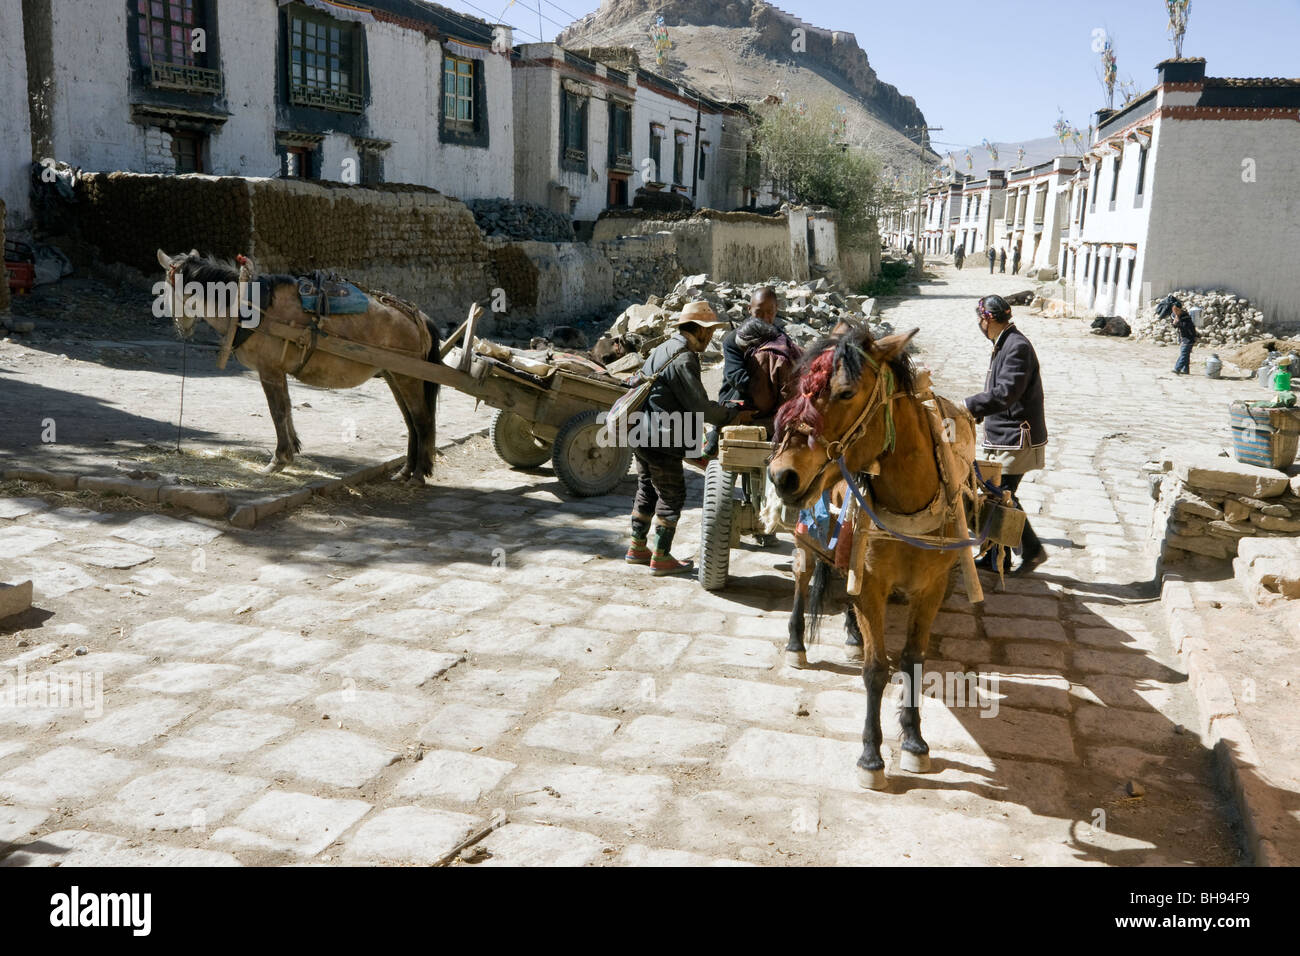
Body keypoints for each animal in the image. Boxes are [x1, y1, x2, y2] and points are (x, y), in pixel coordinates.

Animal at [155, 248, 441, 481]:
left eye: (166, 290)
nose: (180, 328)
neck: (250, 305)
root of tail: (417, 316)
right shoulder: (278, 371)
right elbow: (288, 407)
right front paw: (292, 449)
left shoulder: (269, 370)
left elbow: (277, 411)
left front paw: (279, 459)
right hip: (395, 374)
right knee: (410, 421)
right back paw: (406, 471)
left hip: (408, 378)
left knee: (422, 419)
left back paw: (418, 474)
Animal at [769, 325, 977, 790]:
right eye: (793, 389)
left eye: (846, 392)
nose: (780, 474)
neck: (909, 505)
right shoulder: (874, 584)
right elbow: (875, 669)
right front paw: (871, 756)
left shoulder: (931, 588)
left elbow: (913, 660)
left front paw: (915, 742)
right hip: (807, 531)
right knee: (801, 577)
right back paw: (796, 643)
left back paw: (851, 633)